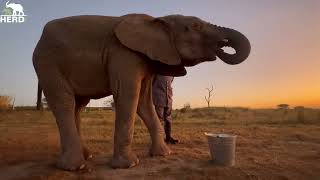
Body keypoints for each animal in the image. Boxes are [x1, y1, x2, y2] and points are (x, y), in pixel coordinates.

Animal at [32, 13, 251, 170]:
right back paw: (73, 167)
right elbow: (128, 95)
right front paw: (128, 165)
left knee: (78, 106)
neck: (157, 20)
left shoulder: (145, 61)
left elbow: (144, 103)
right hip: (48, 62)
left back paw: (87, 156)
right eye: (195, 26)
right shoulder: (124, 54)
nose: (223, 47)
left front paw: (163, 154)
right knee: (64, 103)